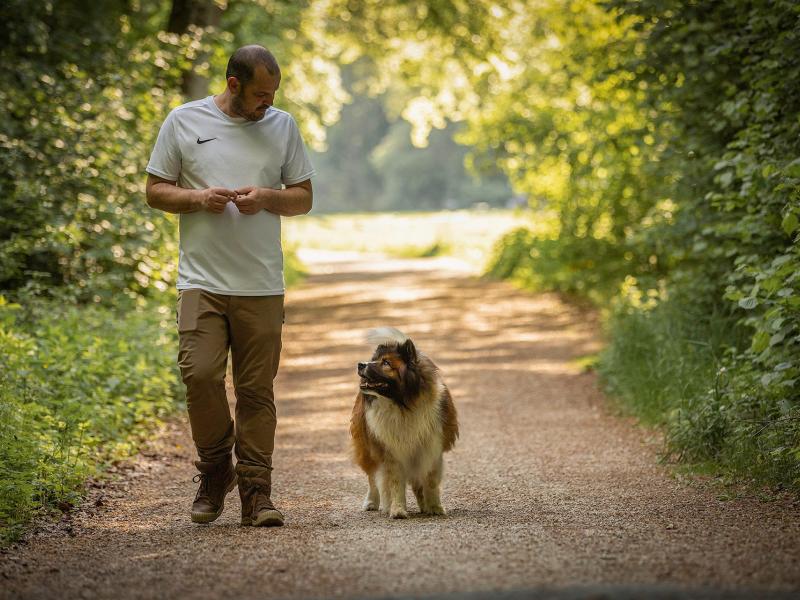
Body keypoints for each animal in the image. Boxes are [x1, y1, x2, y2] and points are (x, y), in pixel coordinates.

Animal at [348, 326, 460, 516]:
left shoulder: (431, 447)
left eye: (386, 363)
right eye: (374, 360)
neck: (404, 406)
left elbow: (430, 481)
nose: (360, 364)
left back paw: (424, 505)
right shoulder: (391, 451)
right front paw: (398, 510)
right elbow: (395, 484)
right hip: (368, 447)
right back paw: (372, 502)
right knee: (372, 478)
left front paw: (435, 507)